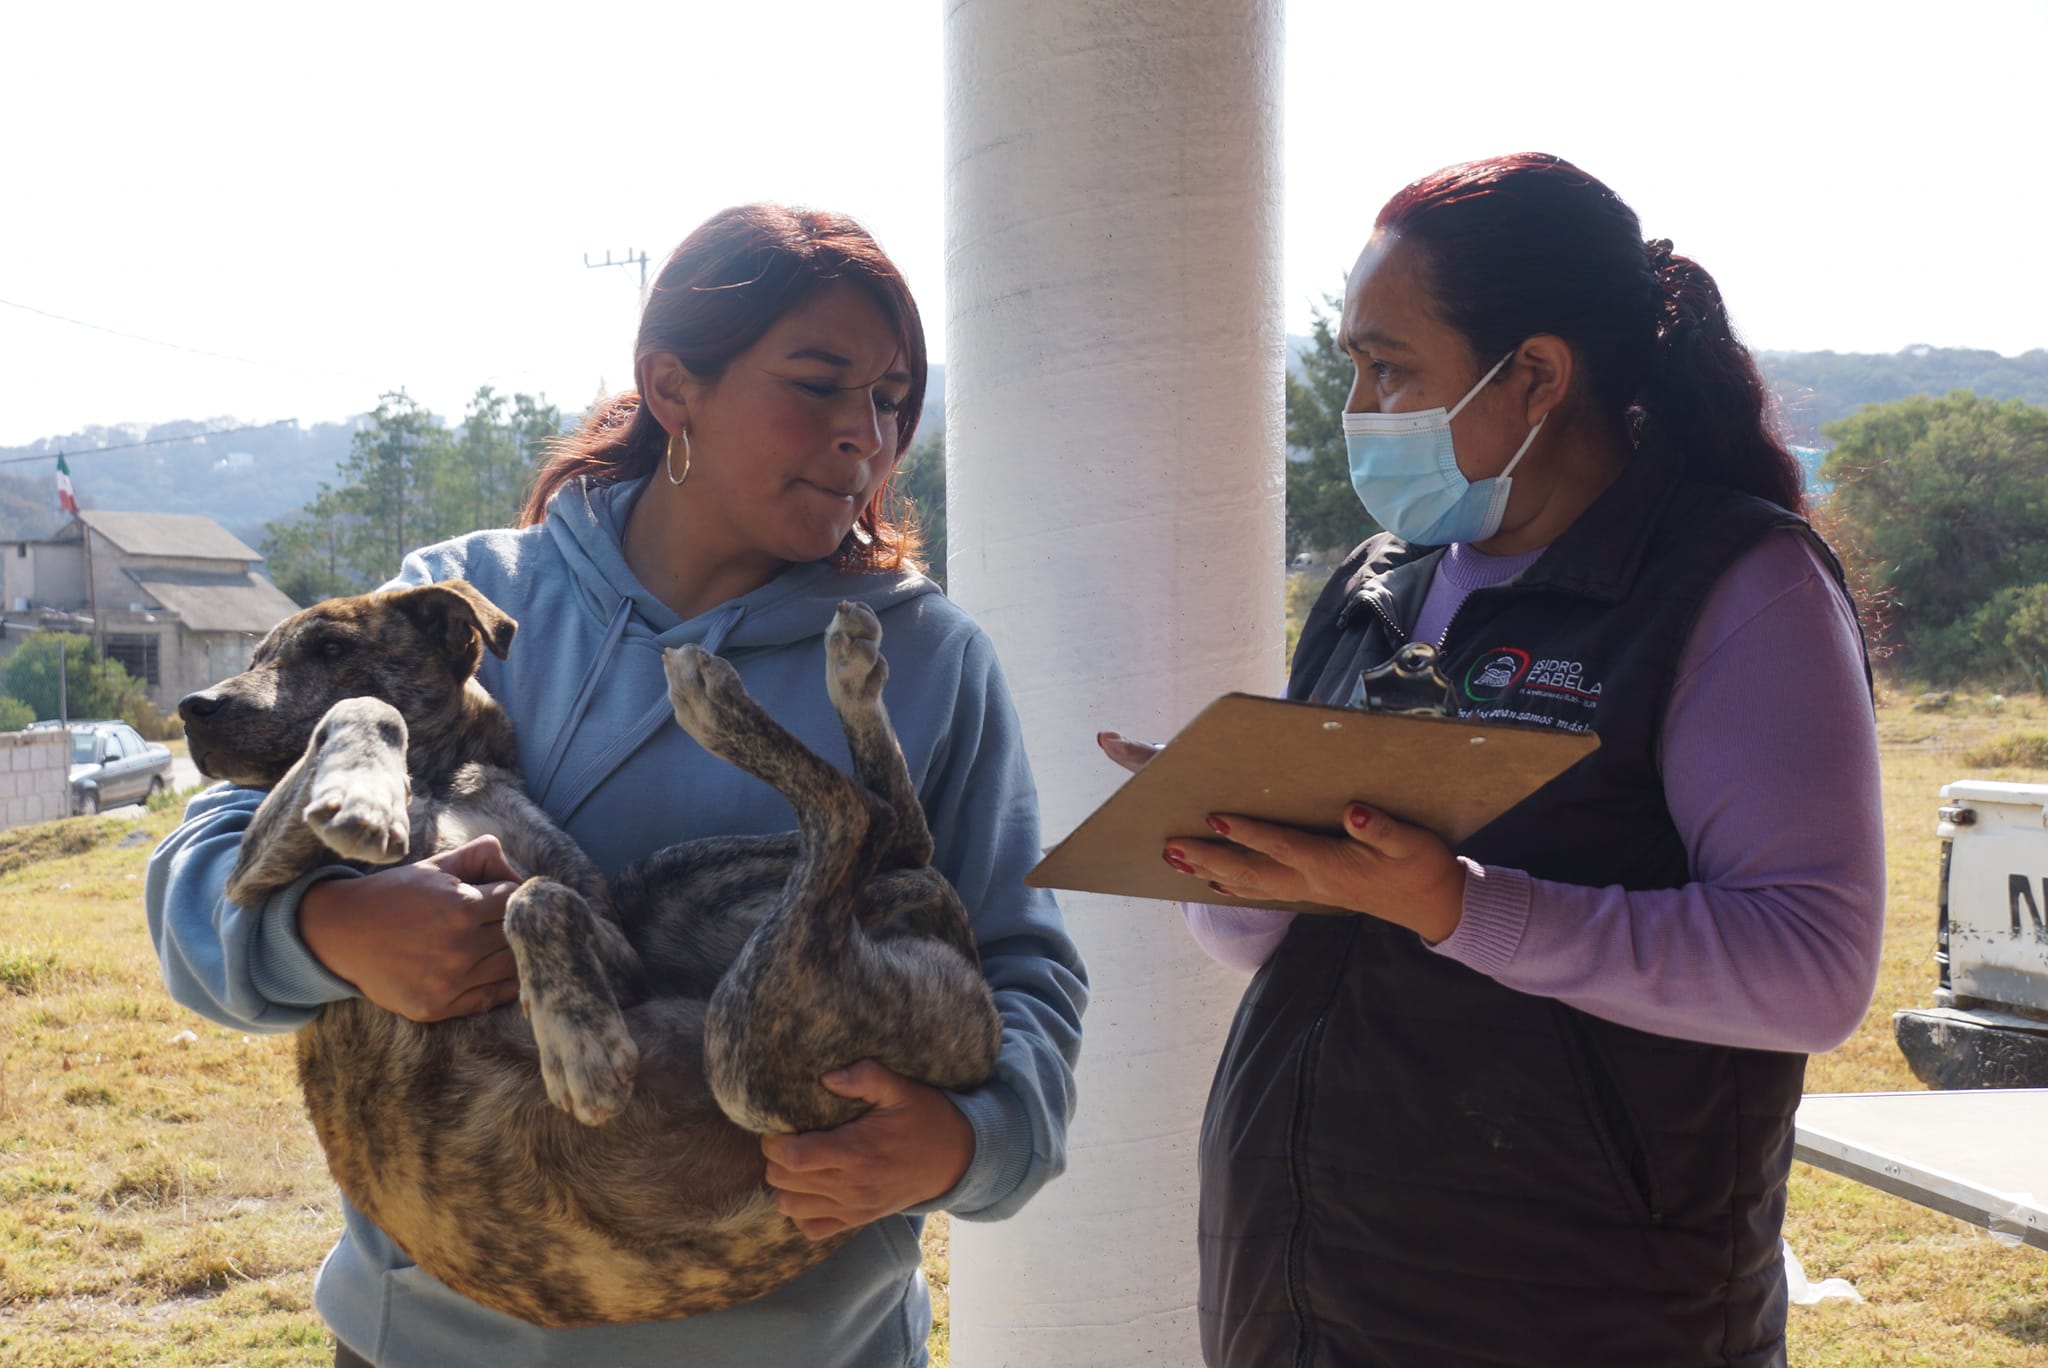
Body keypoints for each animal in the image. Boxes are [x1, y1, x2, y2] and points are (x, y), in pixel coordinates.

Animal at [180, 581, 995, 1327]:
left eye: (332, 648)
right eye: (253, 659)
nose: (194, 707)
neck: (441, 781)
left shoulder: (604, 935)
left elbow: (532, 892)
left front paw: (579, 1045)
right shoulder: (254, 874)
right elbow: (360, 723)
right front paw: (364, 794)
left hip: (741, 1036)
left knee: (870, 818)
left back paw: (761, 692)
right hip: (727, 980)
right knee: (884, 827)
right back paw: (834, 673)